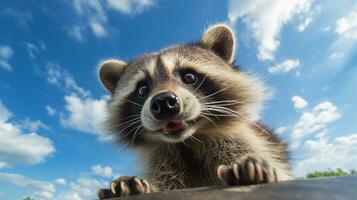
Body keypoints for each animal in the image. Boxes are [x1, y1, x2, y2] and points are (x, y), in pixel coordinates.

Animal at [96, 23, 290, 198]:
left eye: (189, 76)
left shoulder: (240, 139)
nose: (164, 102)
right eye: (142, 89)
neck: (187, 140)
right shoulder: (160, 158)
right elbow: (165, 182)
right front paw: (144, 186)